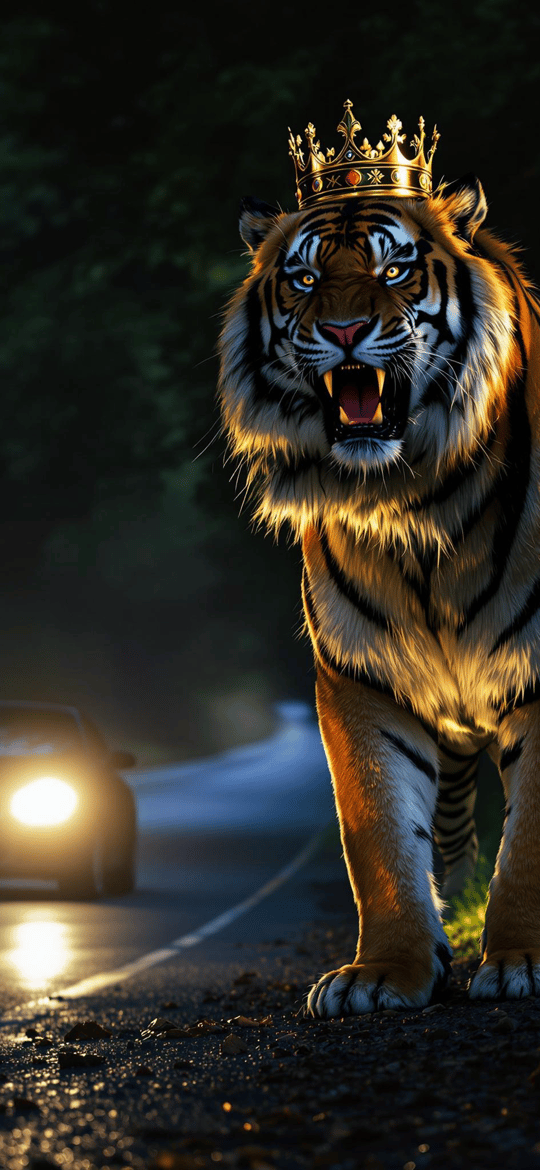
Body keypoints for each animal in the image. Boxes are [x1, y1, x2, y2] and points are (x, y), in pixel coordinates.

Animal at [217, 131, 540, 1014]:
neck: (411, 500)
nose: (345, 329)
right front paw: (384, 974)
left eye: (394, 269)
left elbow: (532, 835)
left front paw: (522, 960)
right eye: (303, 278)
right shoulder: (362, 678)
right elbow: (380, 834)